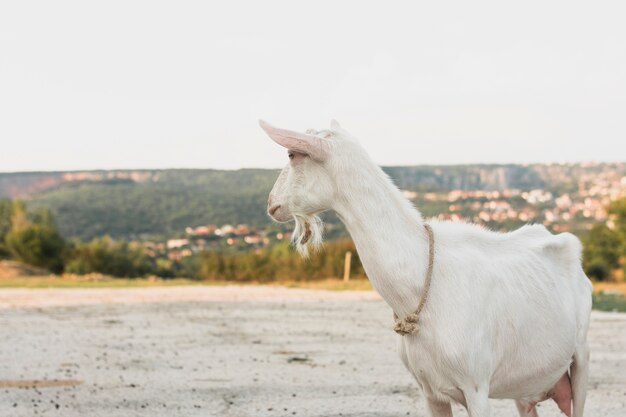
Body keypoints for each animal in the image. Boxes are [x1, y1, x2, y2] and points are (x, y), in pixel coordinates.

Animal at [258, 119, 588, 416]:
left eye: (292, 155)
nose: (271, 203)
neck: (420, 283)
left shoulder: (476, 387)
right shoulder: (430, 391)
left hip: (581, 358)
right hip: (525, 386)